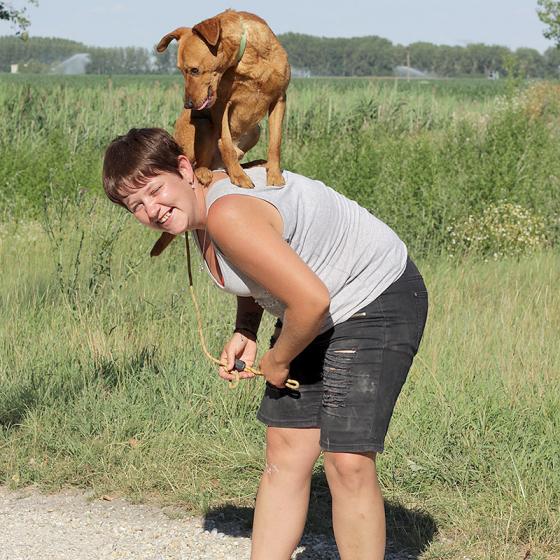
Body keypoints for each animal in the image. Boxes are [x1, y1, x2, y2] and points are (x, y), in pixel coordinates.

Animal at [150, 10, 290, 256]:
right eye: (180, 71)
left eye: (194, 70)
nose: (188, 105)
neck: (246, 58)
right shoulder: (220, 105)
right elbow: (225, 143)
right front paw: (238, 177)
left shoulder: (279, 99)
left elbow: (275, 142)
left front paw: (274, 174)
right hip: (204, 126)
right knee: (199, 163)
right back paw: (206, 172)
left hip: (255, 129)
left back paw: (254, 163)